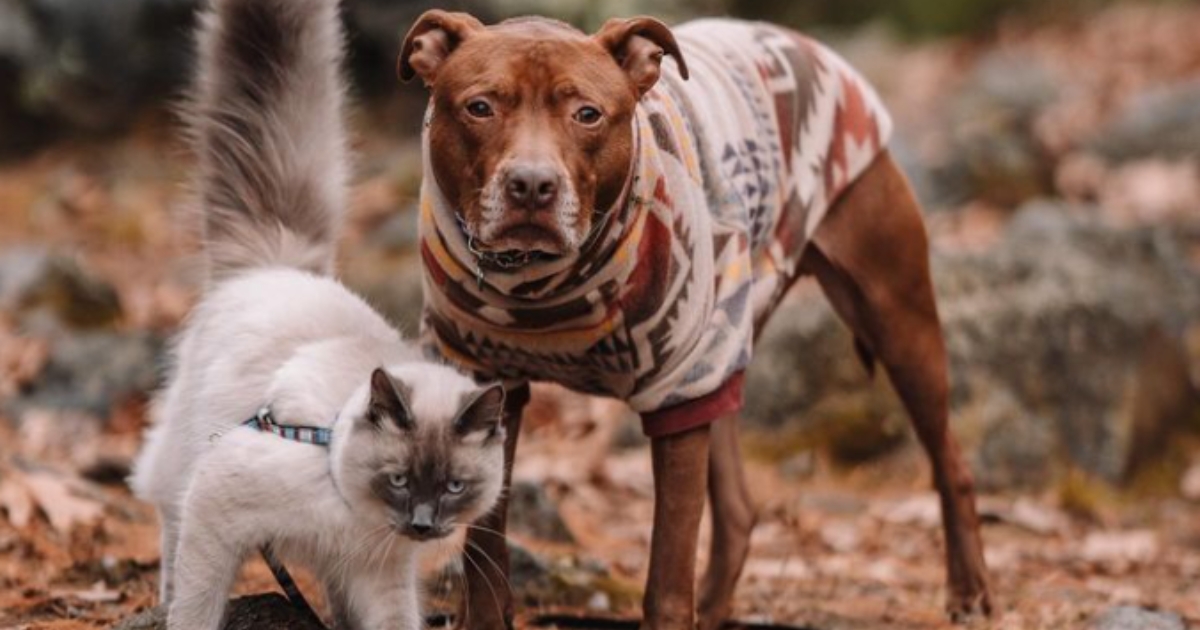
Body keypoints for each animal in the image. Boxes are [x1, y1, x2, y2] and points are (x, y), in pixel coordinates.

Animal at [130, 1, 506, 628]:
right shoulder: (218, 508)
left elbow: (393, 620)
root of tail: (278, 262)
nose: (422, 524)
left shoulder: (379, 574)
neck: (354, 513)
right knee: (168, 521)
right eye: (399, 479)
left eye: (455, 486)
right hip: (181, 459)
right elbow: (198, 606)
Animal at [398, 11, 988, 628]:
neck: (542, 286)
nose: (533, 185)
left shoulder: (679, 392)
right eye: (479, 107)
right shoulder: (488, 386)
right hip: (727, 344)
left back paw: (968, 590)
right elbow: (486, 554)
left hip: (896, 321)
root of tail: (804, 43)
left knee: (950, 462)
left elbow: (669, 567)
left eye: (588, 114)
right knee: (738, 505)